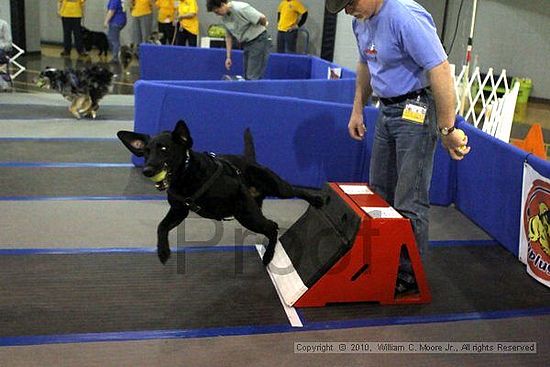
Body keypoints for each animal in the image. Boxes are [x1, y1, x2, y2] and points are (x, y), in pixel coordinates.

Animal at [117, 121, 324, 268]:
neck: (186, 176)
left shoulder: (238, 195)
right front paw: (163, 251)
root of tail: (248, 159)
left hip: (266, 199)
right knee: (270, 224)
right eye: (145, 152)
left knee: (281, 213)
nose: (147, 171)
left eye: (163, 149)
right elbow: (161, 226)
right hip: (253, 211)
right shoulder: (179, 210)